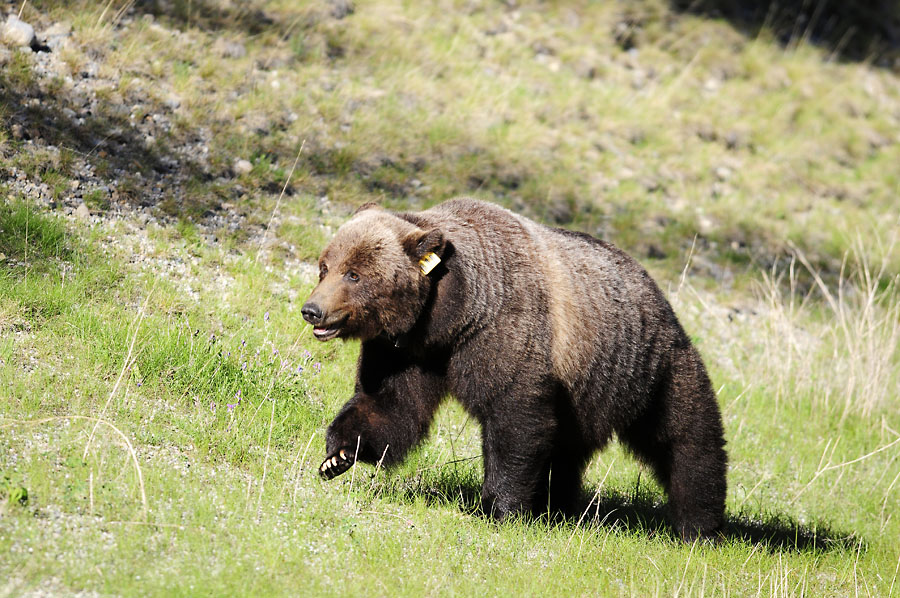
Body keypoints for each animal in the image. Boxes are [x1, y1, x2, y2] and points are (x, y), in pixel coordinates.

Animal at [301, 198, 727, 541]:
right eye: (325, 266)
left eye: (354, 274)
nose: (312, 310)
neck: (449, 317)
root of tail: (652, 284)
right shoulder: (406, 352)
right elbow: (389, 405)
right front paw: (337, 455)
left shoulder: (501, 332)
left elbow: (514, 420)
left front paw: (500, 508)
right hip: (584, 393)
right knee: (567, 452)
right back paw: (559, 508)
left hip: (647, 366)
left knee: (686, 436)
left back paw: (700, 526)